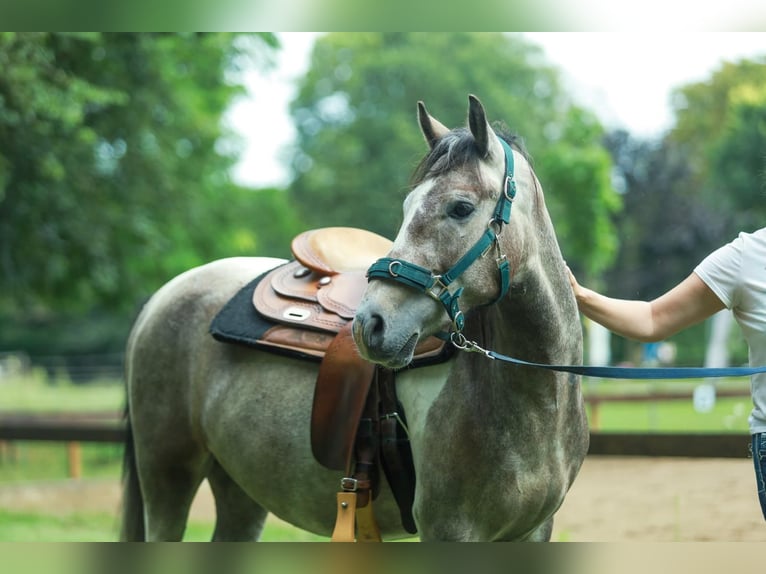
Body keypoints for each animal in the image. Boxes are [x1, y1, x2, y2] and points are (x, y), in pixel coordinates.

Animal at [120, 94, 589, 542]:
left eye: (460, 207)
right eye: (408, 205)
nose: (370, 325)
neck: (532, 403)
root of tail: (163, 295)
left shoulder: (533, 531)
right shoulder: (449, 529)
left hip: (240, 490)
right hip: (168, 477)